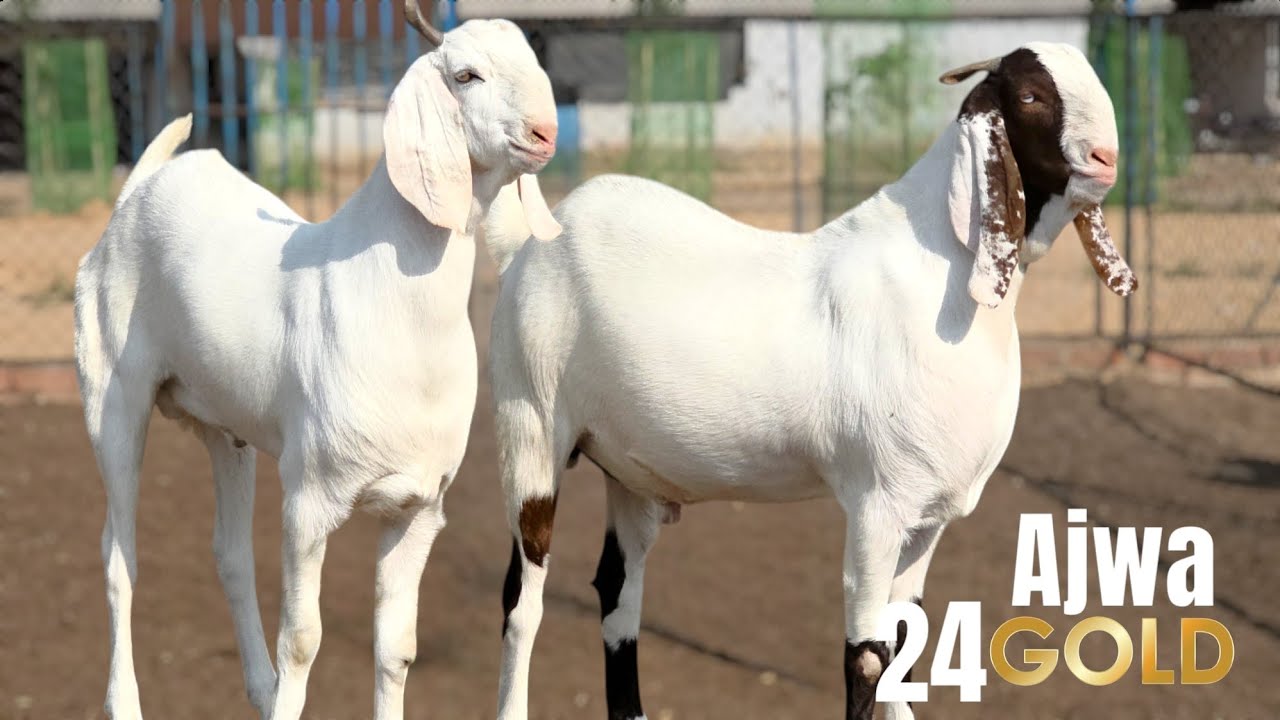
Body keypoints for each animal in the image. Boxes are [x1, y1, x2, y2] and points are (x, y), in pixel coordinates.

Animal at [73, 4, 560, 719]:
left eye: (533, 61)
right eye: (466, 75)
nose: (544, 132)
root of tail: (135, 195)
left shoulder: (419, 509)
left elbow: (397, 649)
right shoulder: (309, 497)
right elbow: (302, 640)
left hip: (224, 428)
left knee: (229, 553)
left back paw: (257, 687)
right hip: (113, 398)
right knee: (116, 556)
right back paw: (128, 700)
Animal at [483, 42, 1134, 720]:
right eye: (1031, 96)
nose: (1105, 159)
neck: (941, 274)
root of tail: (526, 243)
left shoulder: (926, 519)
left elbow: (906, 646)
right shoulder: (879, 502)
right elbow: (868, 656)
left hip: (628, 469)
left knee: (617, 588)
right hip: (530, 426)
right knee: (521, 599)